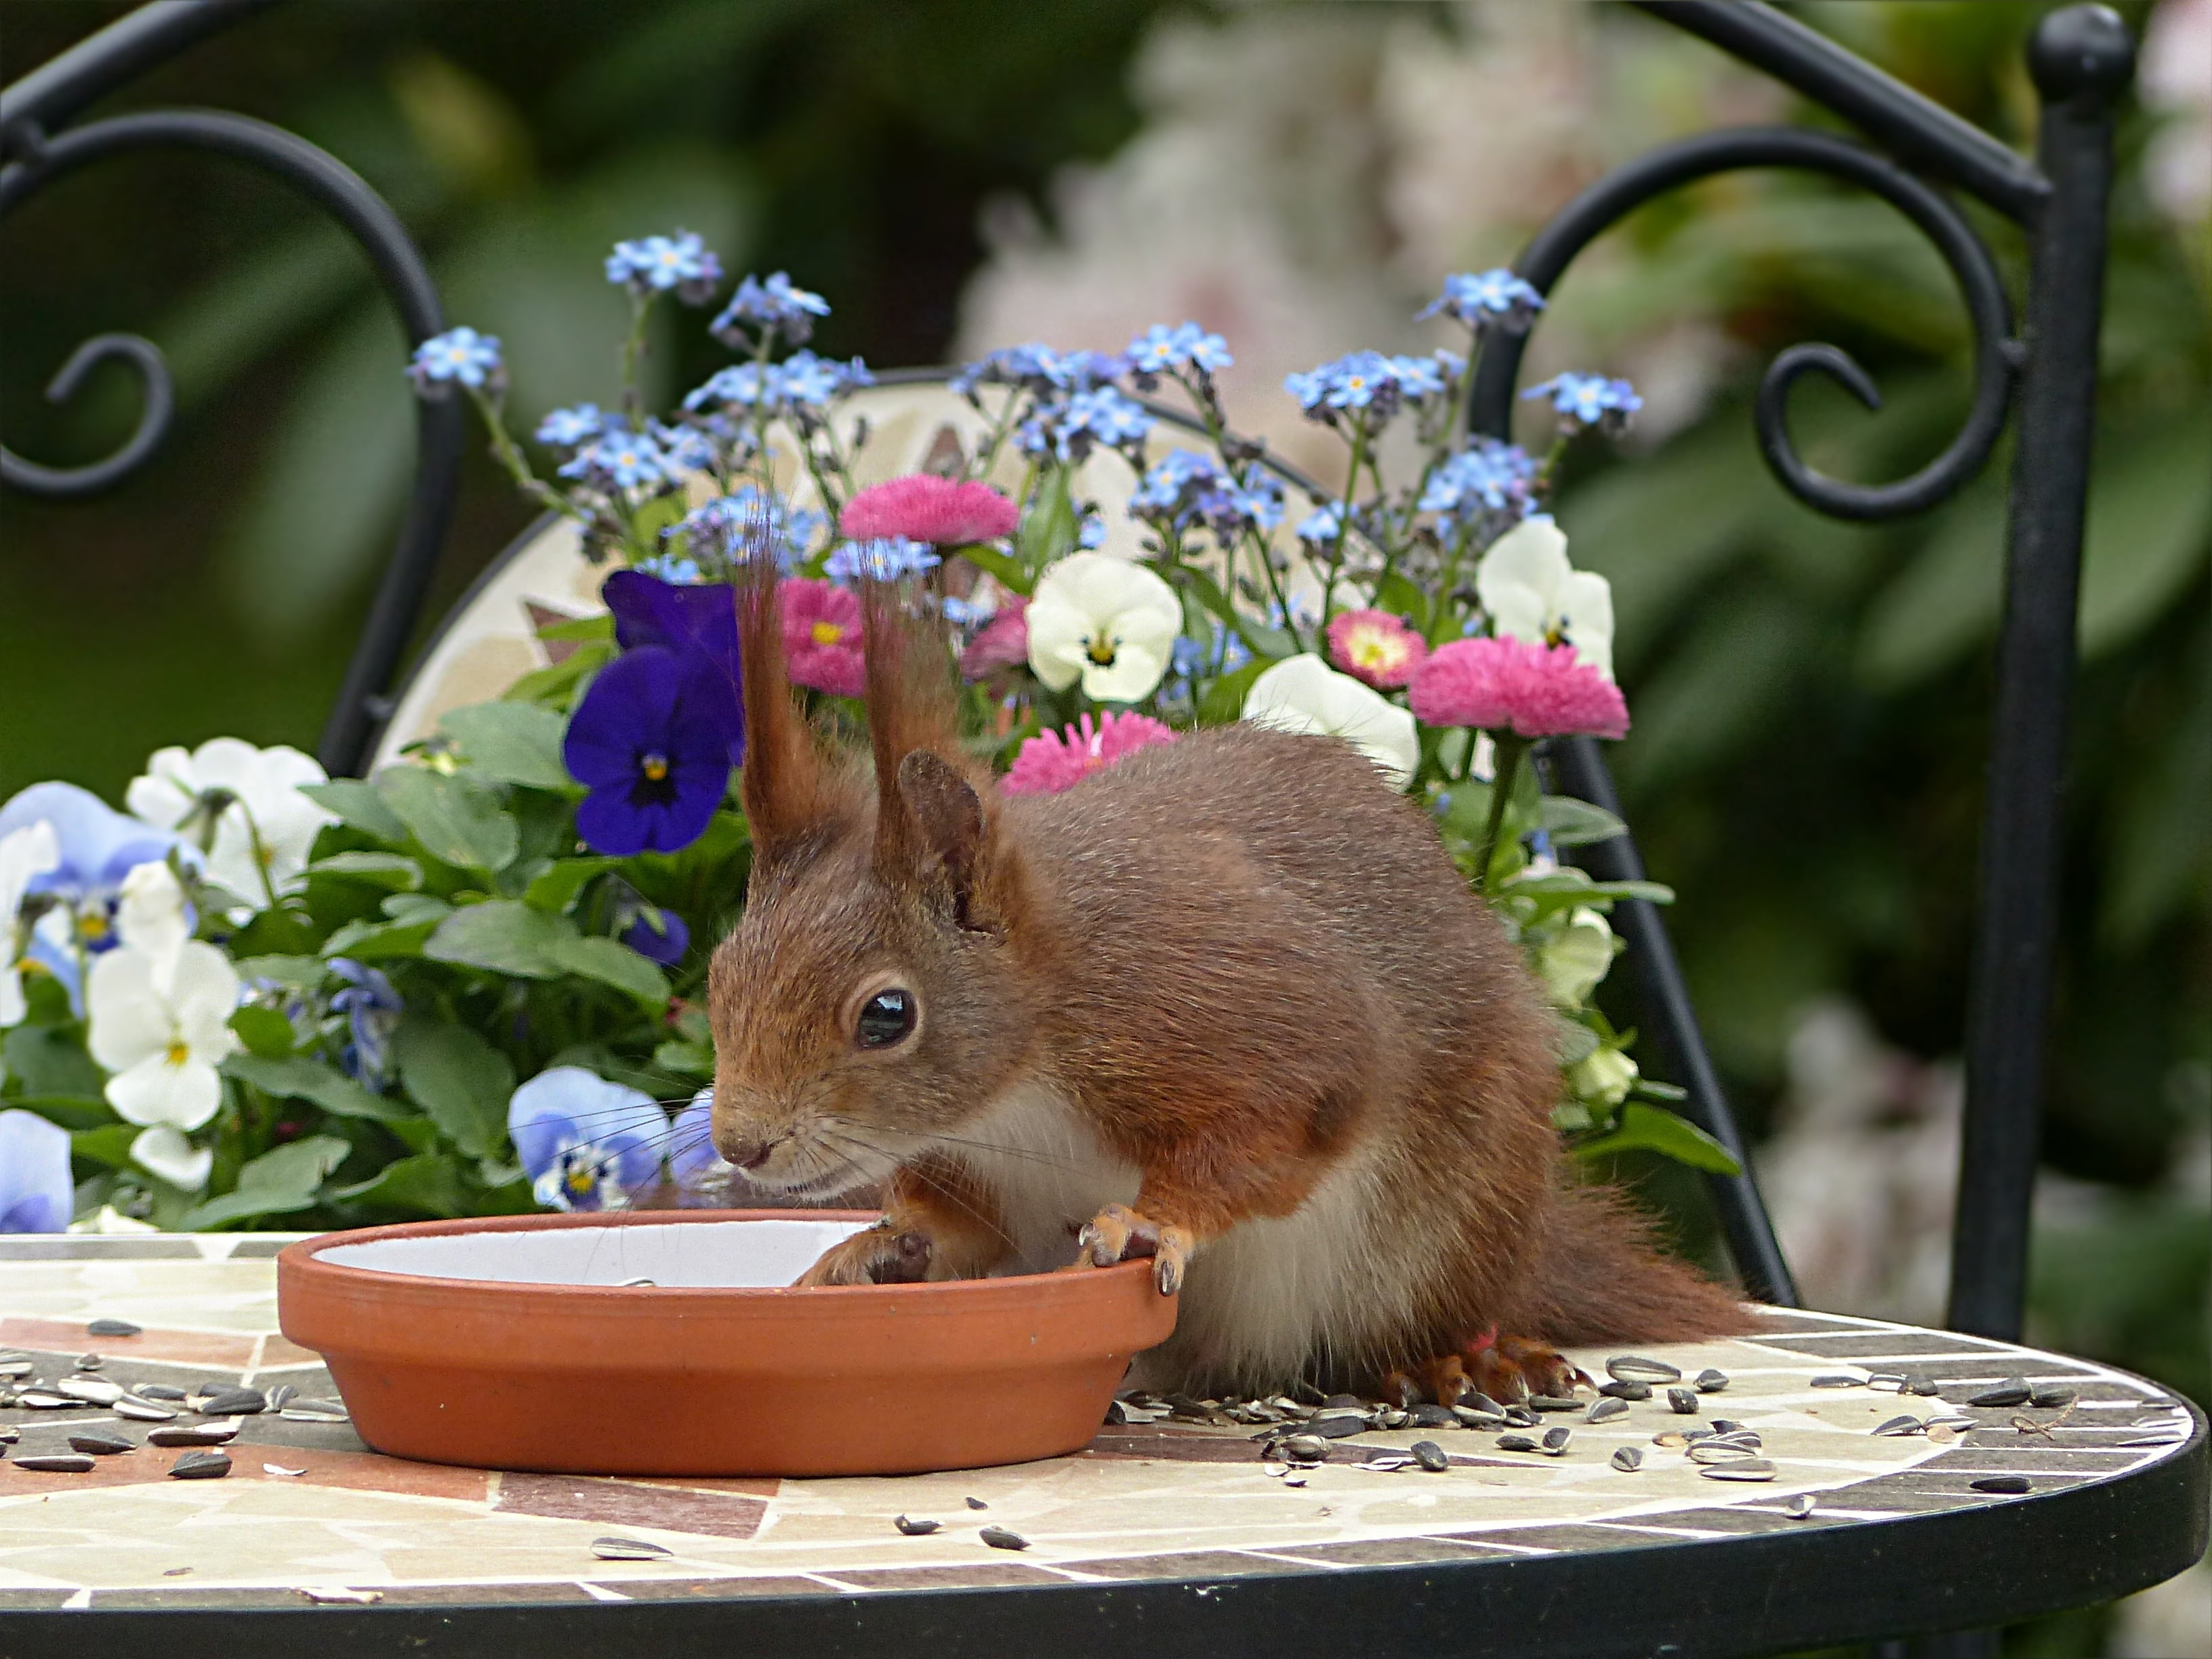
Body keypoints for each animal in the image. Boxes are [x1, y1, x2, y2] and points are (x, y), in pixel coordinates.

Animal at [706, 564, 1752, 1402]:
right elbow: (967, 1233)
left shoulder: (1218, 1007)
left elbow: (1284, 1118)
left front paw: (1151, 1219)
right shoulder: (980, 1164)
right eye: (720, 976)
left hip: (1454, 1227)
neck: (1019, 1083)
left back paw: (1455, 1360)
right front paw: (885, 1247)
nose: (741, 1144)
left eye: (889, 1014)